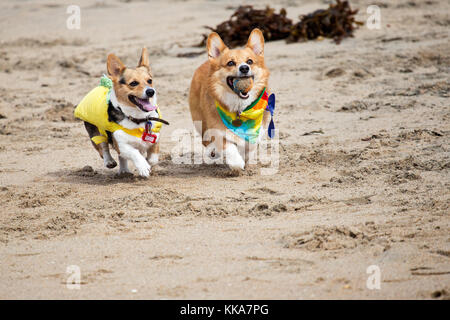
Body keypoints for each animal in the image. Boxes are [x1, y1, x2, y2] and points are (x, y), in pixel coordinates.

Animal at [74, 49, 168, 178]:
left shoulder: (155, 139)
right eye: (133, 83)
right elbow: (134, 152)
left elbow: (153, 159)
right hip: (95, 132)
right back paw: (109, 161)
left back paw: (124, 170)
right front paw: (143, 167)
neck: (138, 119)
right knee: (103, 147)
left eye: (150, 81)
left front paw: (148, 164)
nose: (151, 91)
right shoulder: (121, 145)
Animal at [188, 28, 272, 171]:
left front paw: (246, 160)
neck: (240, 107)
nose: (244, 68)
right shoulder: (218, 131)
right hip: (200, 121)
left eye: (250, 61)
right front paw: (237, 164)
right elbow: (230, 149)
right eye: (230, 63)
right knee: (206, 141)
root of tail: (205, 63)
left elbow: (250, 146)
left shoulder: (258, 130)